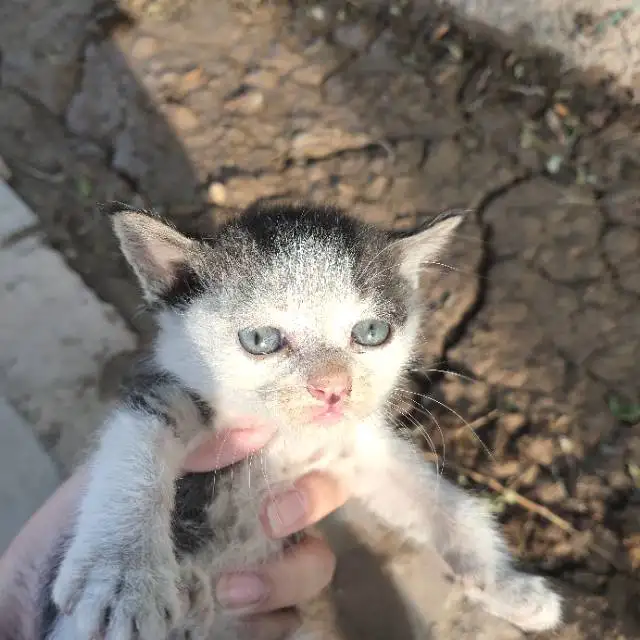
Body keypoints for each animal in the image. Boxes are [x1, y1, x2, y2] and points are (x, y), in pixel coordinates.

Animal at [38, 202, 560, 636]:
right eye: (261, 340)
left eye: (372, 332)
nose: (333, 387)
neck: (286, 438)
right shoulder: (165, 388)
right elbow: (138, 439)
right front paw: (122, 574)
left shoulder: (353, 447)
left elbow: (446, 502)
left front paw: (508, 585)